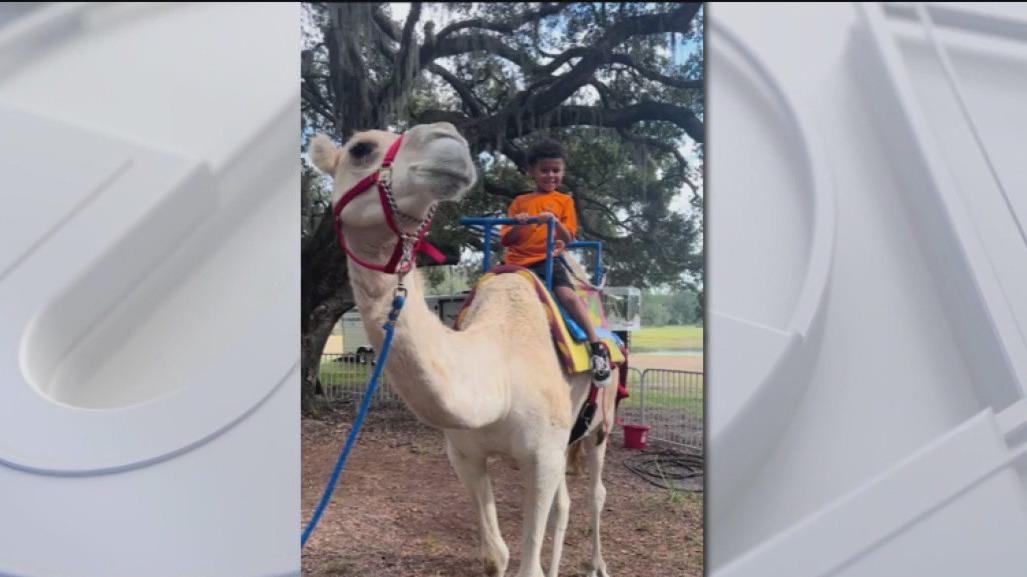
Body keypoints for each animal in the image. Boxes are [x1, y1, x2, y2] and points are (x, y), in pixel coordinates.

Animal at [309, 121, 621, 577]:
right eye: (360, 149)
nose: (448, 139)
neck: (498, 373)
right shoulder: (464, 455)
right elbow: (497, 555)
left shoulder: (542, 456)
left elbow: (528, 563)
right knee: (564, 504)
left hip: (602, 421)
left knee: (596, 492)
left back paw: (598, 563)